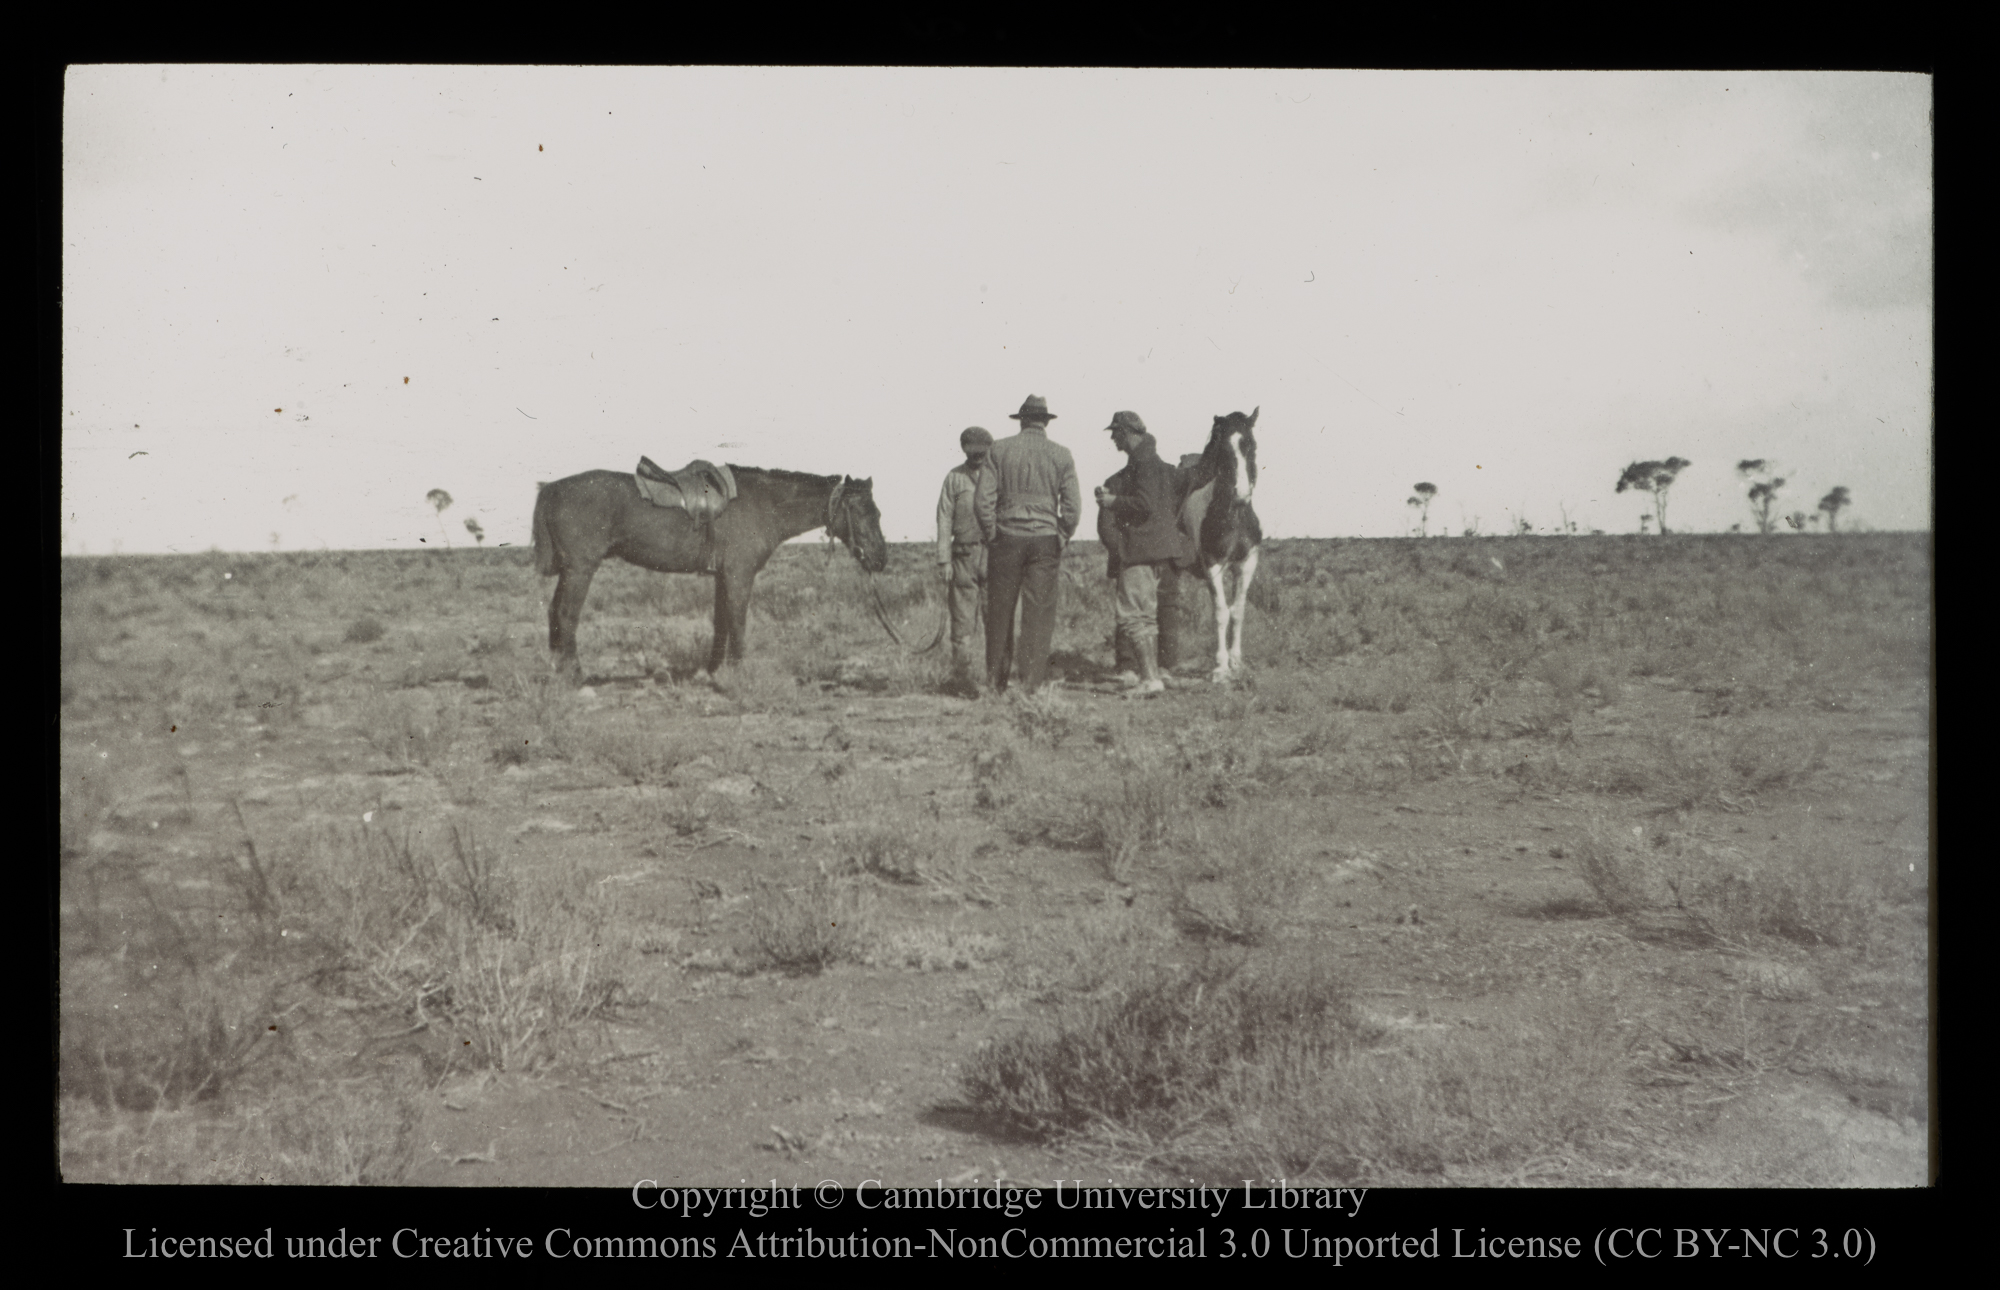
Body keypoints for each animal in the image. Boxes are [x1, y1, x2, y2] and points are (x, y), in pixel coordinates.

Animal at [528, 468, 888, 680]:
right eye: (862, 510)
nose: (880, 559)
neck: (763, 503)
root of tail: (550, 488)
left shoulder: (722, 576)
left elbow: (721, 623)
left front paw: (712, 671)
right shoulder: (740, 575)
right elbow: (738, 622)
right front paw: (739, 673)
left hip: (571, 571)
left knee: (553, 613)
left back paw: (556, 672)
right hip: (580, 569)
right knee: (566, 613)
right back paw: (575, 676)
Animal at [1176, 408, 1256, 680]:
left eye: (1251, 445)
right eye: (1223, 449)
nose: (1241, 494)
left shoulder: (1247, 563)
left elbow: (1238, 611)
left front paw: (1236, 661)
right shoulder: (1212, 564)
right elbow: (1221, 612)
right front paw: (1221, 666)